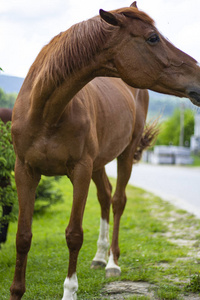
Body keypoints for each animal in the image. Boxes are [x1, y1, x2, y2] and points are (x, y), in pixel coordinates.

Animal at [10, 2, 200, 300]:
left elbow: (74, 234)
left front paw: (70, 291)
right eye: (152, 38)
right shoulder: (25, 171)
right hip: (98, 164)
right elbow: (23, 236)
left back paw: (112, 262)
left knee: (118, 200)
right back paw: (100, 257)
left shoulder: (80, 170)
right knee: (105, 196)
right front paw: (16, 292)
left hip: (124, 154)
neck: (45, 110)